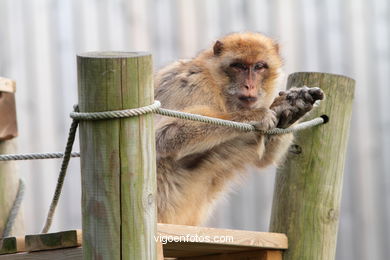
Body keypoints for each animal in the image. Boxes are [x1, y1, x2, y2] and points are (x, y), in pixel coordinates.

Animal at [154, 31, 324, 224]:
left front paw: (289, 105)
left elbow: (264, 158)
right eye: (239, 66)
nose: (249, 86)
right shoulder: (191, 84)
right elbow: (165, 136)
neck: (218, 85)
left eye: (259, 66)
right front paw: (255, 116)